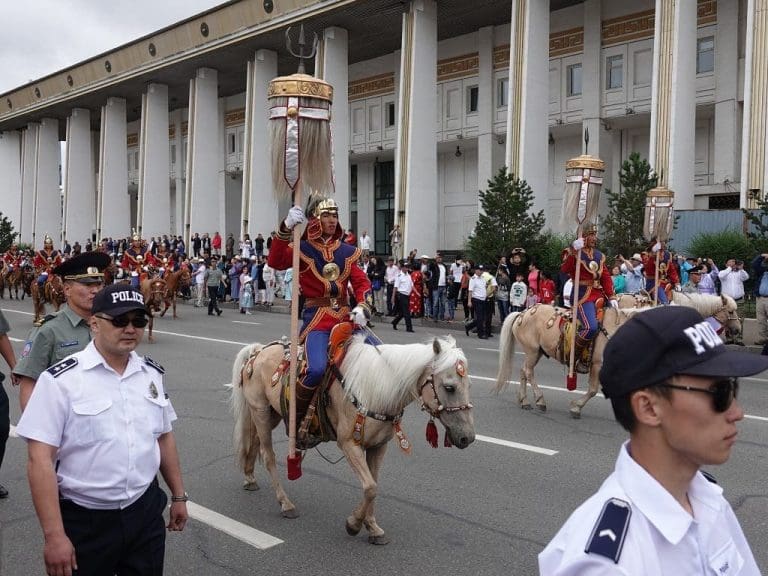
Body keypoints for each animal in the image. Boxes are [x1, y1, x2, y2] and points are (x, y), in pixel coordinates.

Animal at [492, 306, 640, 418]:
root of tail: (523, 313)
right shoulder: (597, 365)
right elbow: (593, 390)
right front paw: (576, 407)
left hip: (537, 352)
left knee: (524, 371)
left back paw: (524, 401)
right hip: (532, 351)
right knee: (528, 372)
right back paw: (540, 400)